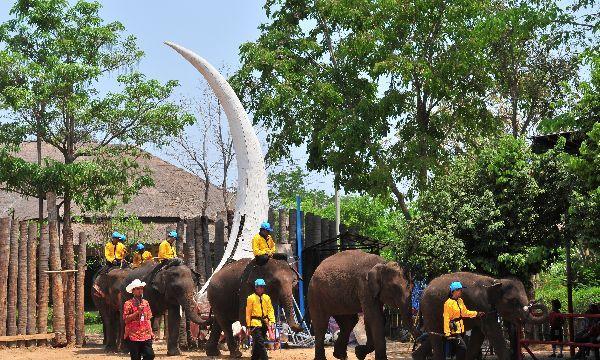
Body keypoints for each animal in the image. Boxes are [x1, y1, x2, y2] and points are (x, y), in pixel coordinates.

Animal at [412, 272, 548, 360]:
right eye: (513, 301)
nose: (533, 303)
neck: (495, 281)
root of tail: (422, 293)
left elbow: (478, 335)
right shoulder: (481, 304)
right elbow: (492, 332)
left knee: (436, 334)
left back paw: (416, 356)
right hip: (430, 309)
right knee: (436, 337)